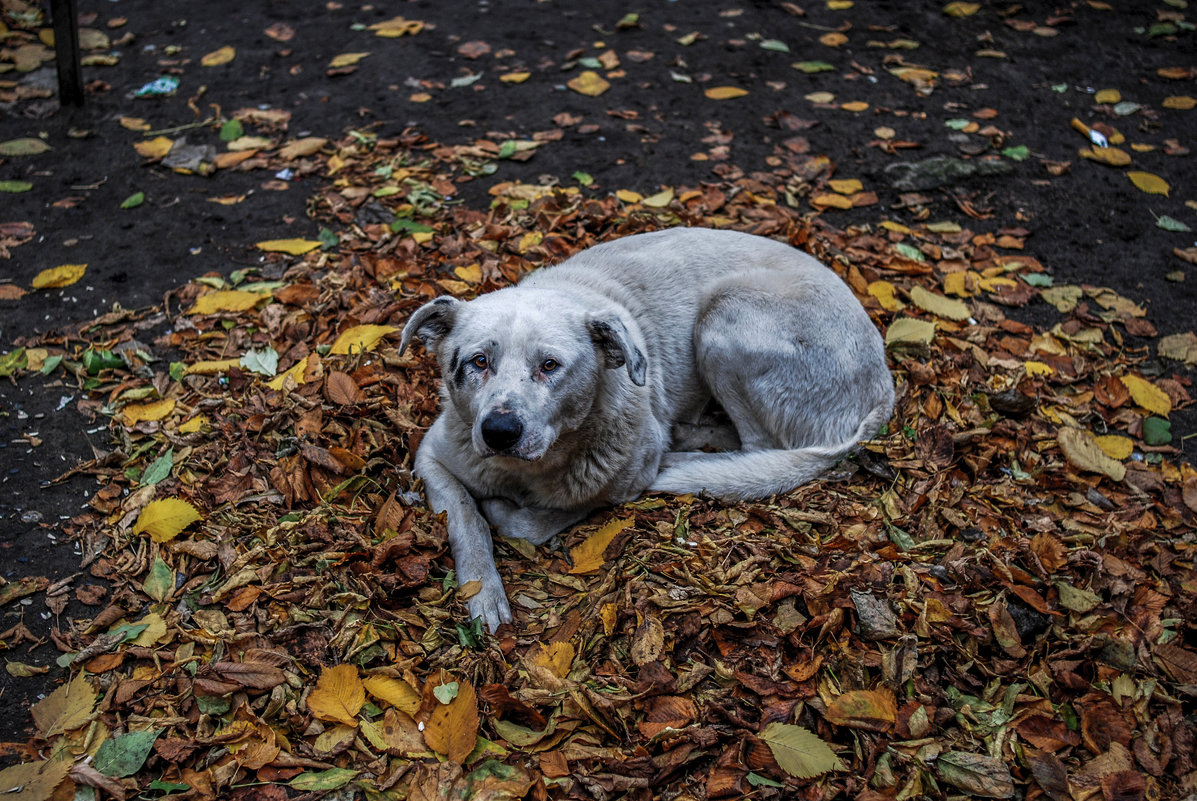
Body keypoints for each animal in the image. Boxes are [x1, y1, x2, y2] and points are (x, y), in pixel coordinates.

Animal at [397, 226, 895, 632]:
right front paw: (482, 593)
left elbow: (537, 518)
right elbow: (464, 516)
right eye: (479, 361)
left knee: (758, 445)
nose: (499, 431)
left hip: (726, 312)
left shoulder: (620, 483)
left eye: (550, 365)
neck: (528, 469)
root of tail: (882, 389)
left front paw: (505, 514)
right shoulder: (432, 456)